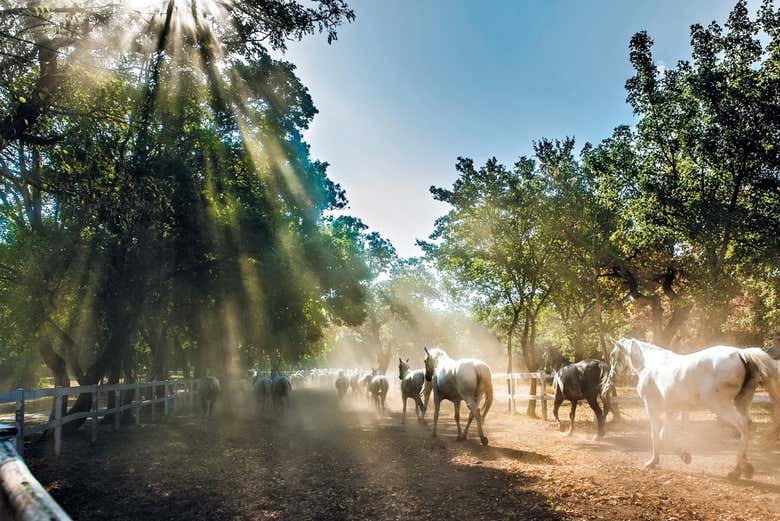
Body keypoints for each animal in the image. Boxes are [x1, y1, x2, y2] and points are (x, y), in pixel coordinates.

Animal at [608, 338, 780, 480]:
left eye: (612, 354)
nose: (611, 377)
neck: (650, 364)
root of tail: (741, 353)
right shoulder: (672, 411)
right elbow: (665, 435)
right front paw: (684, 456)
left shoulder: (652, 409)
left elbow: (656, 436)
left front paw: (652, 462)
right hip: (741, 403)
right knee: (748, 426)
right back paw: (741, 469)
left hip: (721, 406)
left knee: (743, 426)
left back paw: (739, 470)